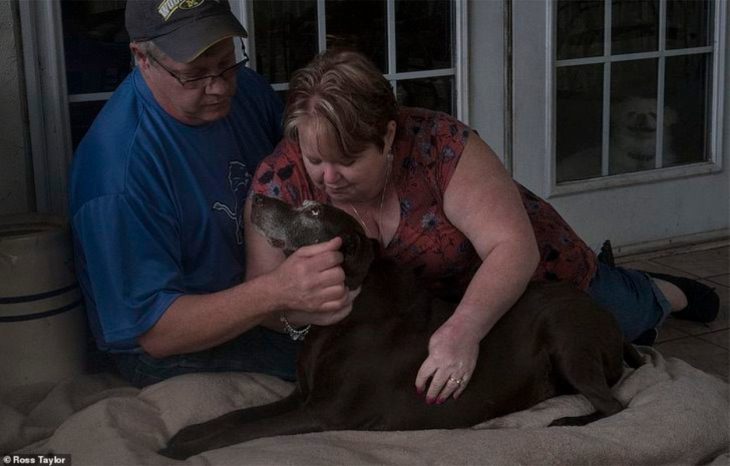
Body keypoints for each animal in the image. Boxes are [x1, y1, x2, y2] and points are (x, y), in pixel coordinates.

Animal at [161, 195, 644, 460]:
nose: (256, 199)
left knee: (615, 406)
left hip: (568, 340)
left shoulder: (321, 413)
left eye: (313, 211)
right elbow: (237, 415)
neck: (347, 311)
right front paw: (189, 432)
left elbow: (242, 431)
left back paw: (569, 422)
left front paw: (183, 449)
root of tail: (612, 322)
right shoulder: (300, 398)